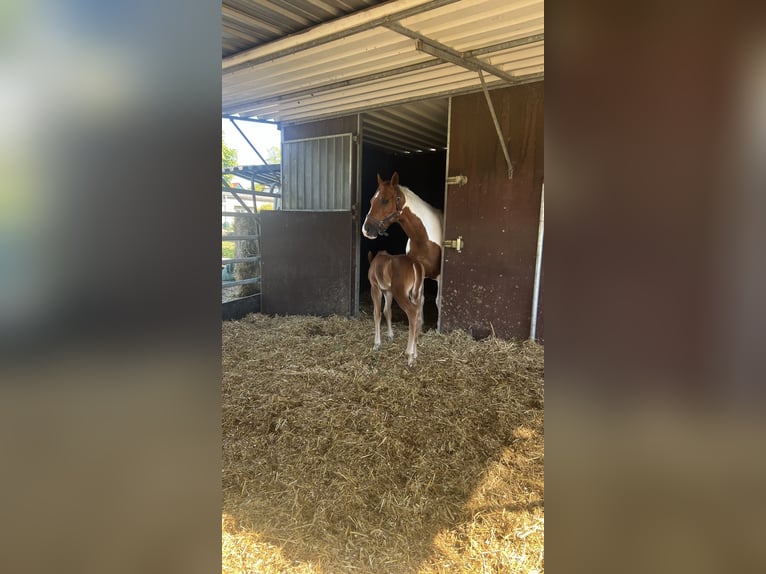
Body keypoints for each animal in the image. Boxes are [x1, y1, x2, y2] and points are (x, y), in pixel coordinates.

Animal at [364, 171, 448, 324]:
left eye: (385, 200)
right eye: (372, 200)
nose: (366, 230)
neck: (424, 239)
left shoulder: (440, 276)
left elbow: (438, 301)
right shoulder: (419, 274)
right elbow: (419, 299)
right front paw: (420, 323)